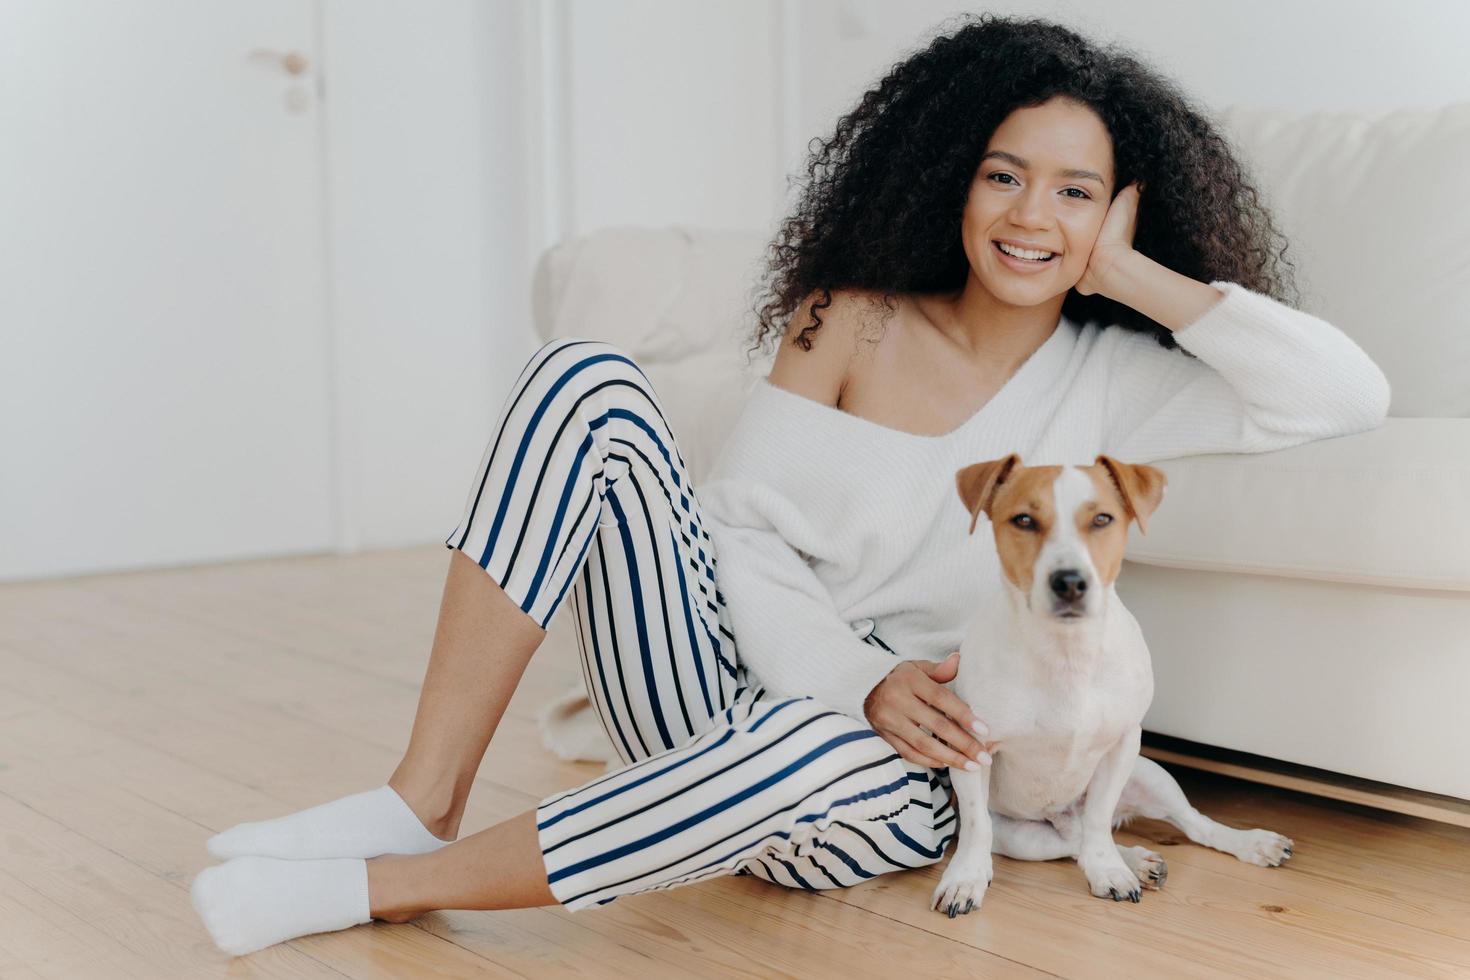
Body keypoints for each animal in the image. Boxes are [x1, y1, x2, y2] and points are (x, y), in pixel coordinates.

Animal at [934, 455, 1293, 916]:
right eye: (1024, 520)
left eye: (1102, 519)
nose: (1070, 581)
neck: (1066, 652)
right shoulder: (971, 750)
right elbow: (977, 827)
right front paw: (965, 880)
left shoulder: (1123, 744)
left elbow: (1100, 820)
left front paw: (1108, 870)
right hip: (1024, 837)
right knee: (1070, 843)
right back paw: (1137, 861)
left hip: (1151, 775)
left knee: (1190, 825)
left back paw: (1249, 844)